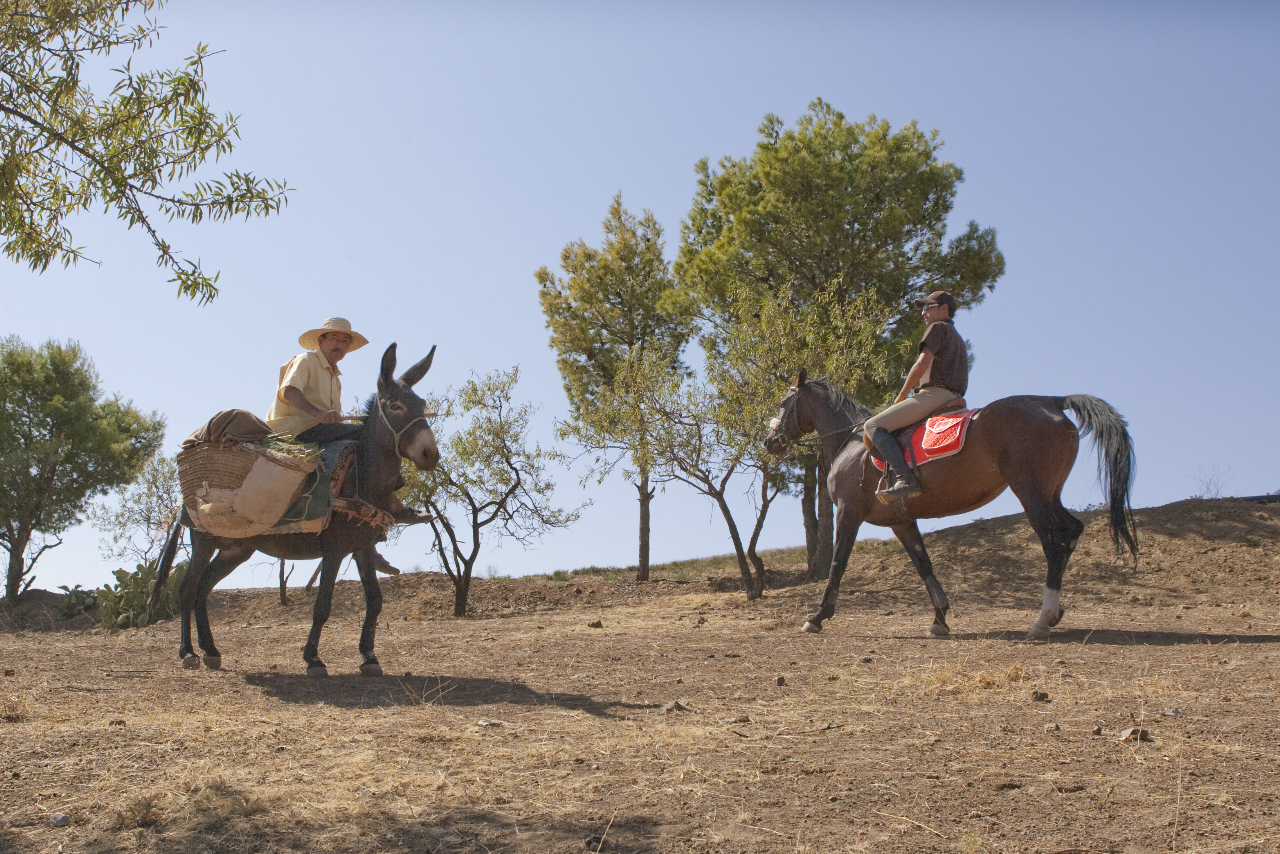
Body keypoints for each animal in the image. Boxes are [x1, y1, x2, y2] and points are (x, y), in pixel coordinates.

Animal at [762, 371, 1136, 637]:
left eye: (782, 403)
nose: (771, 442)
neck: (852, 442)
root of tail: (1051, 402)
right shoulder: (901, 521)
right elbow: (924, 564)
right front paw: (940, 618)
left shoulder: (848, 512)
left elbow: (838, 564)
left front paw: (817, 616)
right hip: (1049, 492)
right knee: (1072, 530)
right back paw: (1055, 613)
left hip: (1030, 492)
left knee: (1053, 542)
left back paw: (1042, 620)